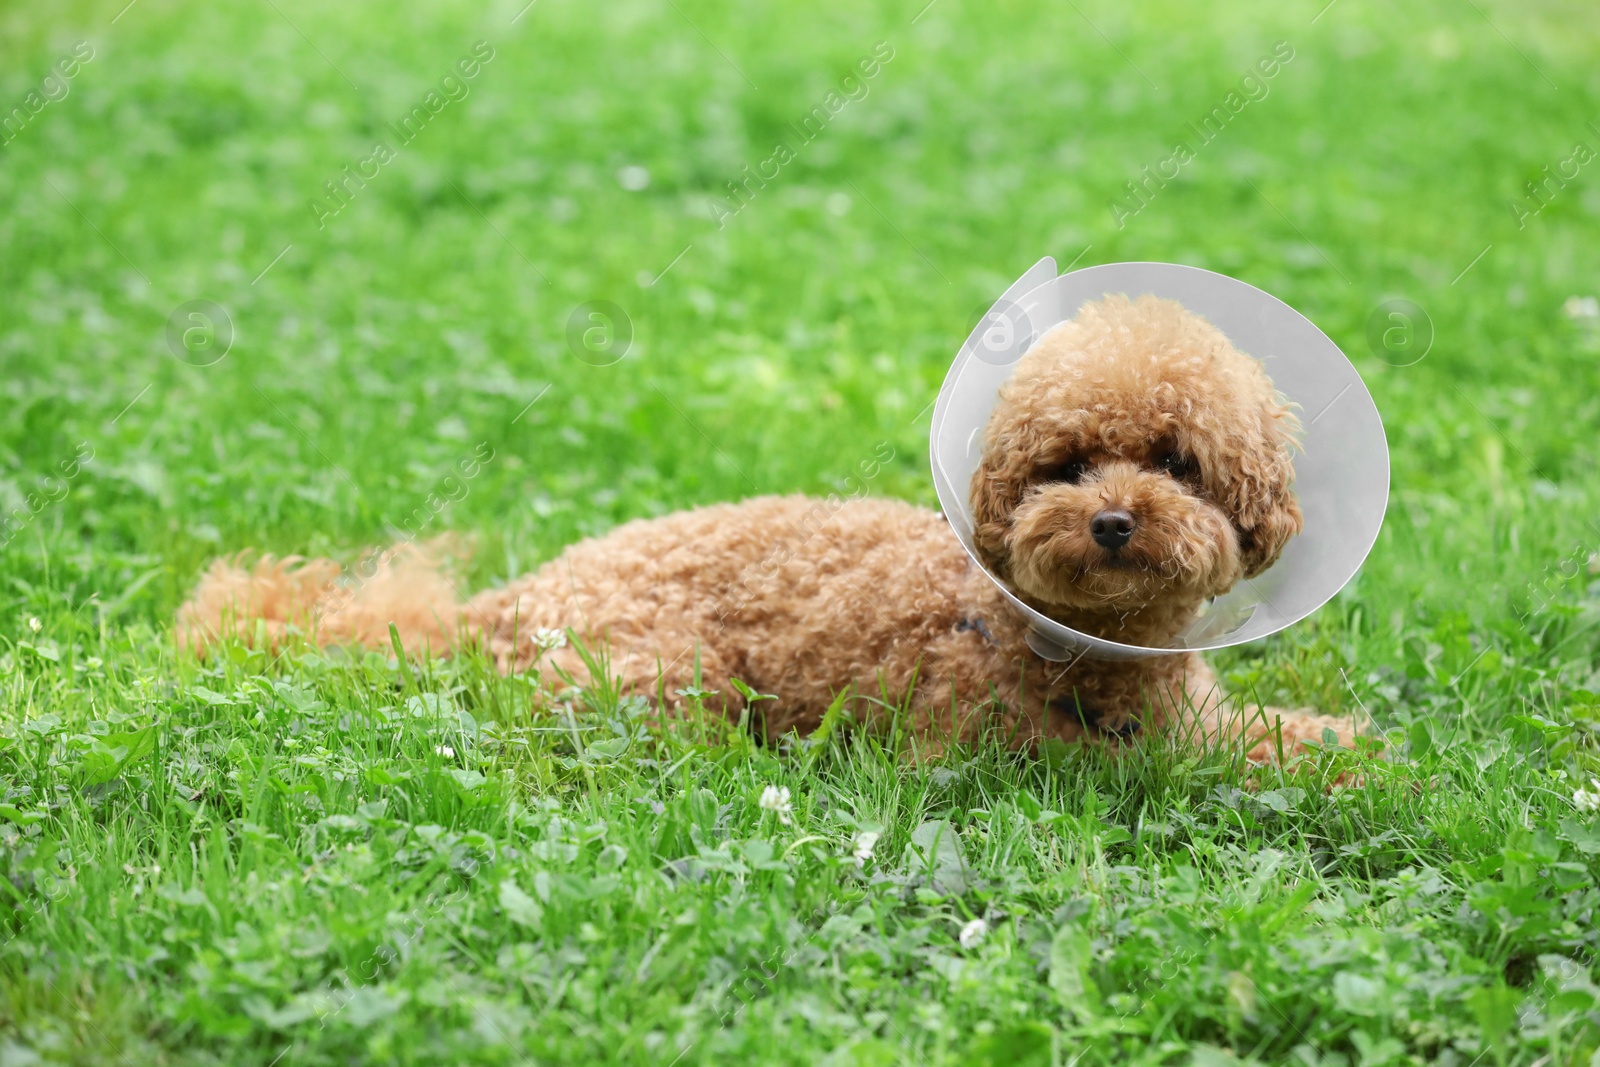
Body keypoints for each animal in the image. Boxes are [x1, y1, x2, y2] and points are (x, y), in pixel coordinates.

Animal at [178, 292, 1350, 758]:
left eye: (1177, 462)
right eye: (1059, 465)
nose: (1109, 520)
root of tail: (501, 603)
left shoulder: (1197, 720)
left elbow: (1278, 737)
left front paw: (1352, 749)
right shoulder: (992, 754)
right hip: (661, 676)